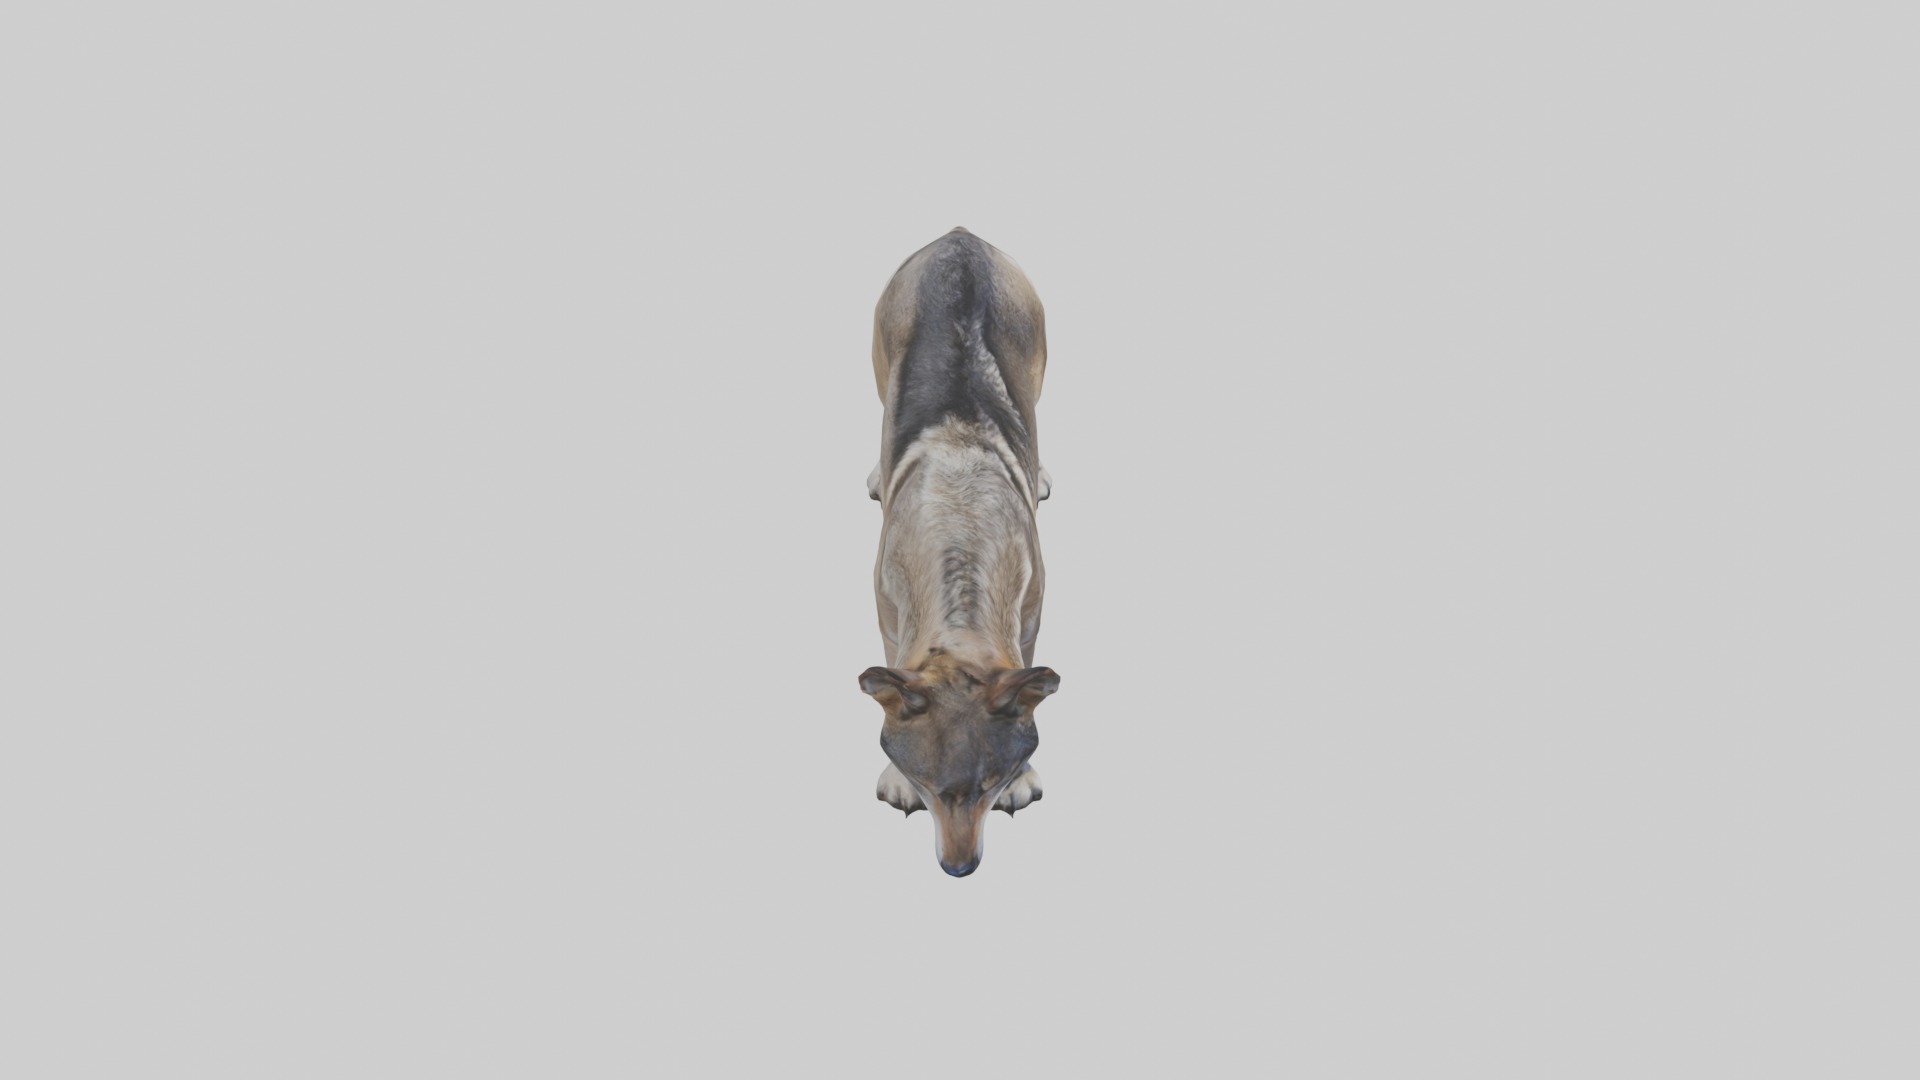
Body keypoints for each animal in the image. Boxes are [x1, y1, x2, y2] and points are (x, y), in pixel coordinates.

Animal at [859, 228, 1060, 877]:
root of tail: (960, 238)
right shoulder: (886, 609)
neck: (960, 532)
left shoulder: (1032, 610)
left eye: (992, 785)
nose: (959, 869)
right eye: (925, 786)